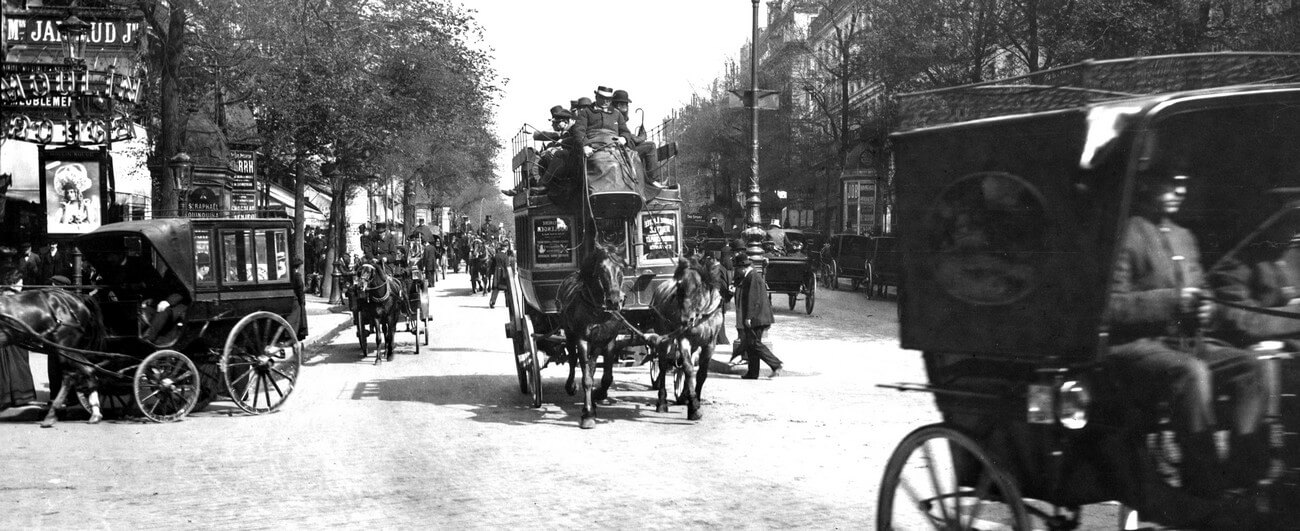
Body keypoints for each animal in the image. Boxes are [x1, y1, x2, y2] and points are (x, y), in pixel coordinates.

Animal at [0, 286, 105, 426]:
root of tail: (77, 298)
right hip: (60, 348)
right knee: (88, 369)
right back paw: (95, 413)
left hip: (64, 345)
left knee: (69, 376)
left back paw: (52, 413)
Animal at [553, 242, 624, 429]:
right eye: (601, 269)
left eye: (621, 268)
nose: (614, 301)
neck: (598, 312)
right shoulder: (583, 340)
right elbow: (586, 377)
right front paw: (588, 414)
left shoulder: (606, 340)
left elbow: (602, 375)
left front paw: (597, 398)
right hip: (569, 334)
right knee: (572, 360)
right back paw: (571, 386)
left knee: (590, 366)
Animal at [647, 257, 722, 419]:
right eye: (679, 286)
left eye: (699, 287)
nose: (685, 320)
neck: (701, 315)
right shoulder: (683, 339)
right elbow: (688, 369)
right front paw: (693, 407)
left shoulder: (710, 343)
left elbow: (701, 373)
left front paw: (695, 399)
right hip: (664, 337)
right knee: (662, 365)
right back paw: (662, 402)